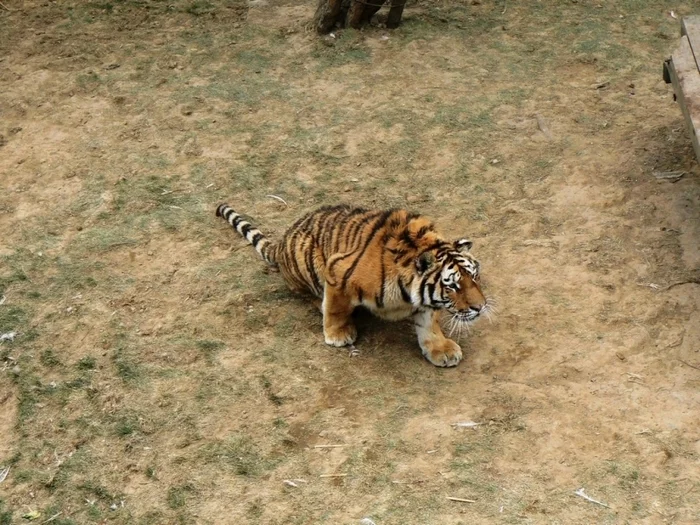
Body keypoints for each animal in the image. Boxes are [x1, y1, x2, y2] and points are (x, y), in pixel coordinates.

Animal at [216, 203, 490, 366]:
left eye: (474, 276)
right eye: (452, 286)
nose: (480, 307)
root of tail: (283, 240)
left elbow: (429, 323)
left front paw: (441, 350)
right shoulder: (337, 271)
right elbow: (336, 308)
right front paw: (338, 335)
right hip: (308, 258)